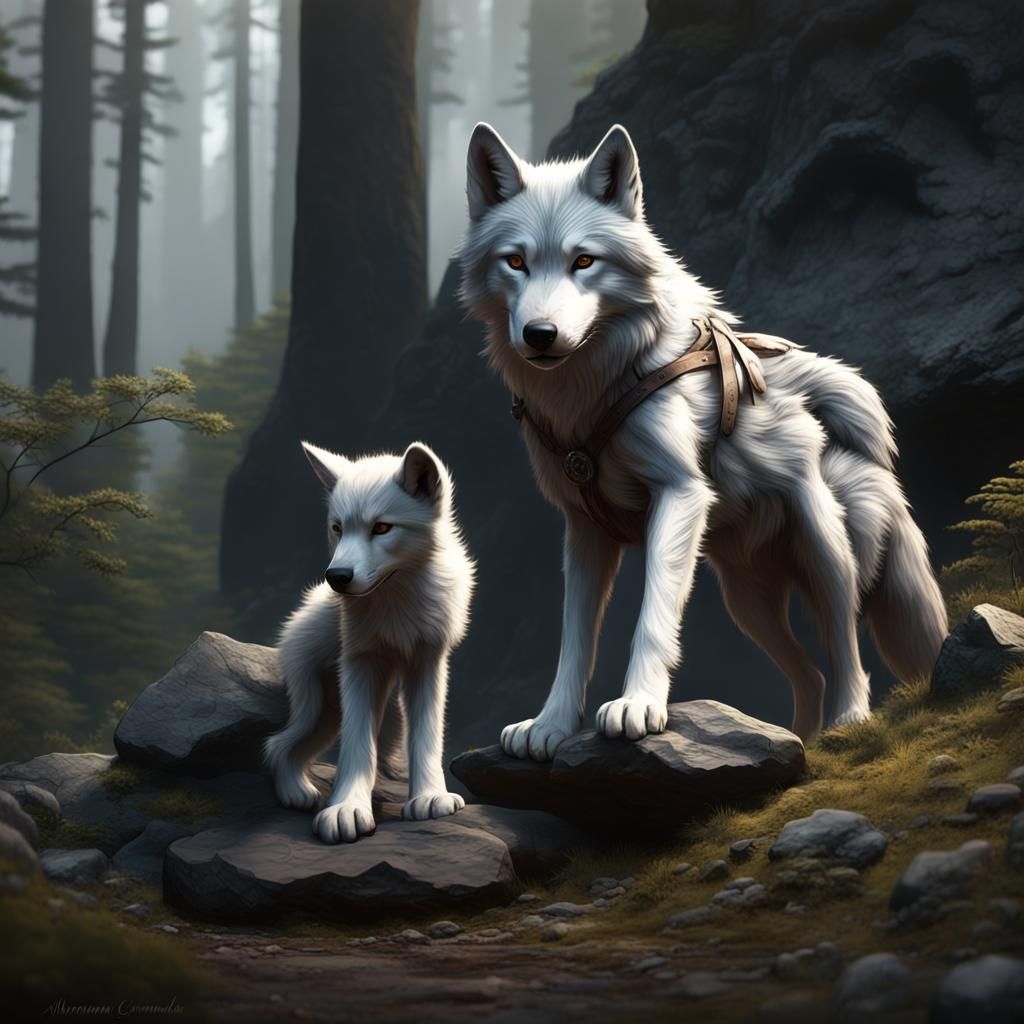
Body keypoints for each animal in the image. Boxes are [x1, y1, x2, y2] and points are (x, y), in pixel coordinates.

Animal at [263, 441, 475, 843]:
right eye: (337, 528)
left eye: (381, 528)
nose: (336, 577)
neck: (397, 601)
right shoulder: (360, 662)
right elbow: (359, 743)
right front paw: (346, 808)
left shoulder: (428, 660)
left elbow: (426, 734)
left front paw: (429, 798)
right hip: (318, 702)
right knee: (278, 744)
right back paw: (296, 793)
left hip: (342, 710)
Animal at [458, 121, 947, 760]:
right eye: (515, 262)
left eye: (583, 261)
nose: (540, 335)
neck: (597, 386)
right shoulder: (584, 530)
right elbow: (574, 639)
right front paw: (552, 725)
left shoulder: (679, 493)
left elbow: (652, 614)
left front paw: (638, 706)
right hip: (748, 603)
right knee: (809, 673)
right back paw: (799, 740)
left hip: (825, 556)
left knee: (846, 649)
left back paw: (848, 723)